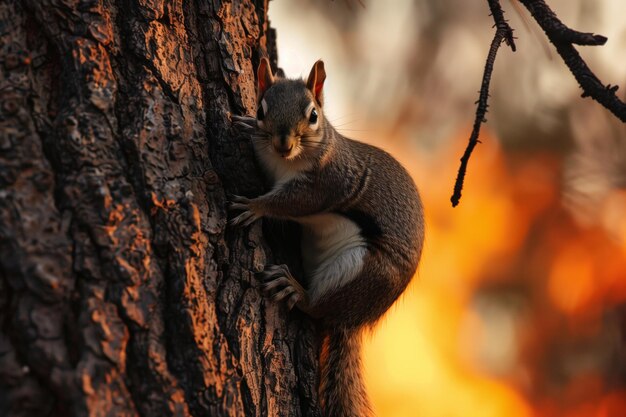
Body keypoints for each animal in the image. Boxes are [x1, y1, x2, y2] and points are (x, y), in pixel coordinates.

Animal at [229, 57, 424, 416]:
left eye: (313, 115)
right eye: (262, 110)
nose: (283, 144)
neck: (283, 162)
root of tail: (357, 318)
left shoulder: (326, 183)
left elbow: (290, 203)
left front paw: (255, 206)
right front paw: (247, 125)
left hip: (361, 271)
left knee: (319, 307)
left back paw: (295, 288)